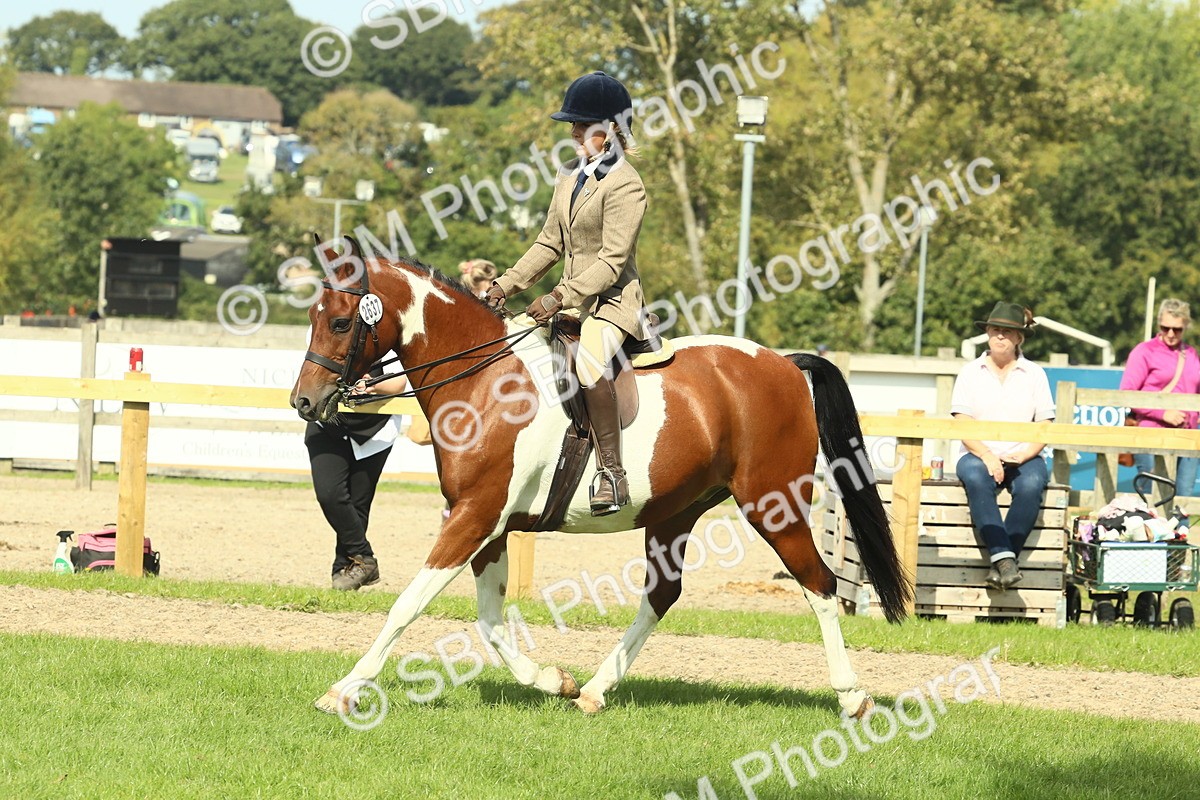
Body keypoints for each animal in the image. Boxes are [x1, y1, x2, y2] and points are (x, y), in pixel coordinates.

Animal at [290, 240, 911, 718]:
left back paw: (852, 697)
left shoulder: (476, 515)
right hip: (674, 511)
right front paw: (552, 680)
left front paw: (343, 691)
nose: (304, 402)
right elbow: (490, 620)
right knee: (662, 594)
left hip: (770, 503)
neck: (485, 381)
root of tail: (782, 362)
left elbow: (408, 605)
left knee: (819, 585)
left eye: (341, 322)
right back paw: (592, 690)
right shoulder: (485, 522)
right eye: (313, 318)